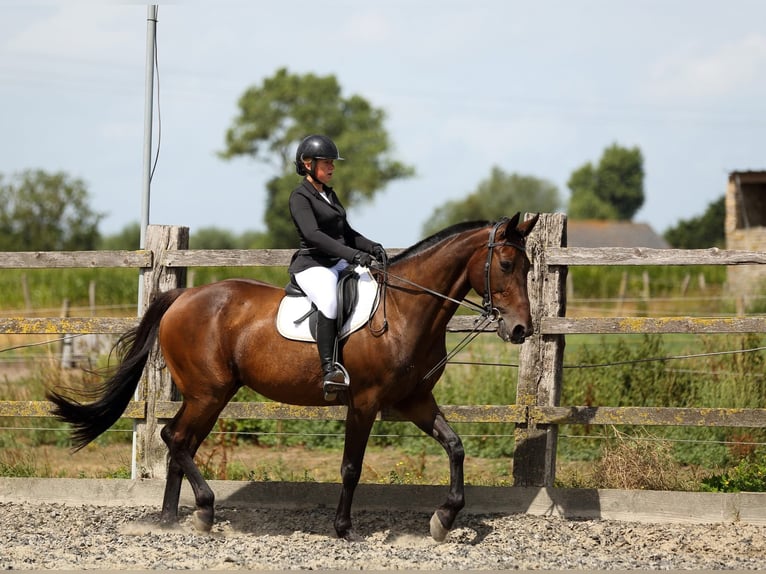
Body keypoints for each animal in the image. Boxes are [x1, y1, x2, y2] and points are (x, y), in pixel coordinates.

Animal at [47, 212, 539, 542]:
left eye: (531, 267)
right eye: (507, 265)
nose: (521, 330)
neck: (404, 310)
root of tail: (183, 296)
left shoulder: (414, 400)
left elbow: (455, 447)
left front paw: (444, 518)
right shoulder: (364, 402)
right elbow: (351, 467)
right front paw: (343, 528)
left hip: (209, 395)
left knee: (179, 443)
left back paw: (173, 519)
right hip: (209, 393)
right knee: (176, 439)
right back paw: (203, 510)